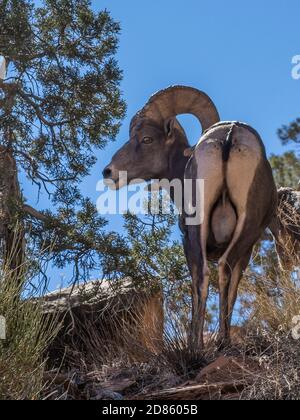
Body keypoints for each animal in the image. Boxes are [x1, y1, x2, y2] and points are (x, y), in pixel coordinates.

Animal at [103, 85, 276, 348]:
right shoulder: (247, 249)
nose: (108, 172)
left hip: (205, 226)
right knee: (222, 270)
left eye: (146, 139)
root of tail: (229, 135)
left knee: (205, 274)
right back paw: (221, 340)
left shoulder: (188, 239)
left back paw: (200, 344)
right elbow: (233, 290)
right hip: (245, 225)